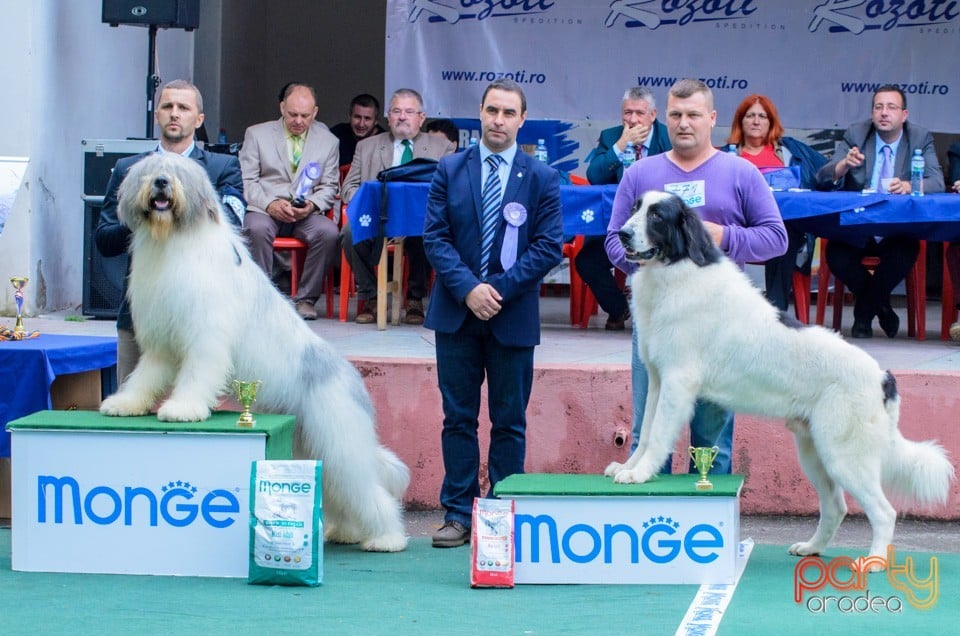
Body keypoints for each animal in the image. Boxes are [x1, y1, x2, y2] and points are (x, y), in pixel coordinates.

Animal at [100, 154, 408, 552]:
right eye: (150, 170)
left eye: (179, 173)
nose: (162, 183)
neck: (173, 240)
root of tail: (353, 377)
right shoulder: (161, 343)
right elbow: (144, 376)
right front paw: (125, 403)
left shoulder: (205, 337)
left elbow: (196, 375)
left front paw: (183, 409)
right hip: (310, 443)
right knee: (338, 491)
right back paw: (346, 531)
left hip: (339, 440)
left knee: (367, 490)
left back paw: (386, 538)